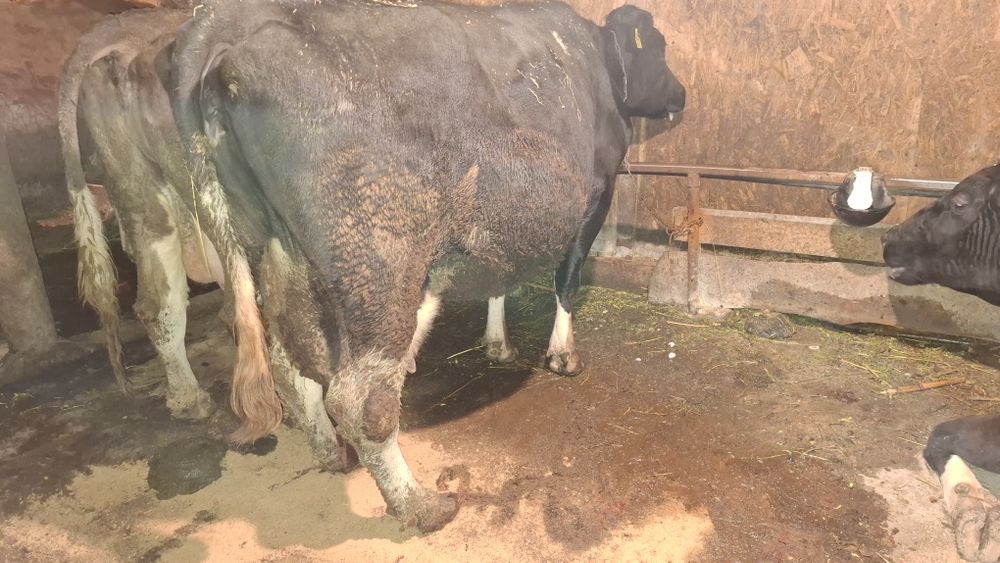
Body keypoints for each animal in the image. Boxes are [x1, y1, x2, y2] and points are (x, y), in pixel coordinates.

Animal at [170, 0, 685, 531]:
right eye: (660, 47)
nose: (682, 94)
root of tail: (225, 27)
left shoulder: (498, 222)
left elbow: (499, 279)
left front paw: (498, 344)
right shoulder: (597, 194)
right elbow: (568, 280)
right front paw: (563, 355)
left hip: (275, 252)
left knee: (291, 365)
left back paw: (331, 452)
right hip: (378, 266)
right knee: (358, 397)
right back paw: (418, 505)